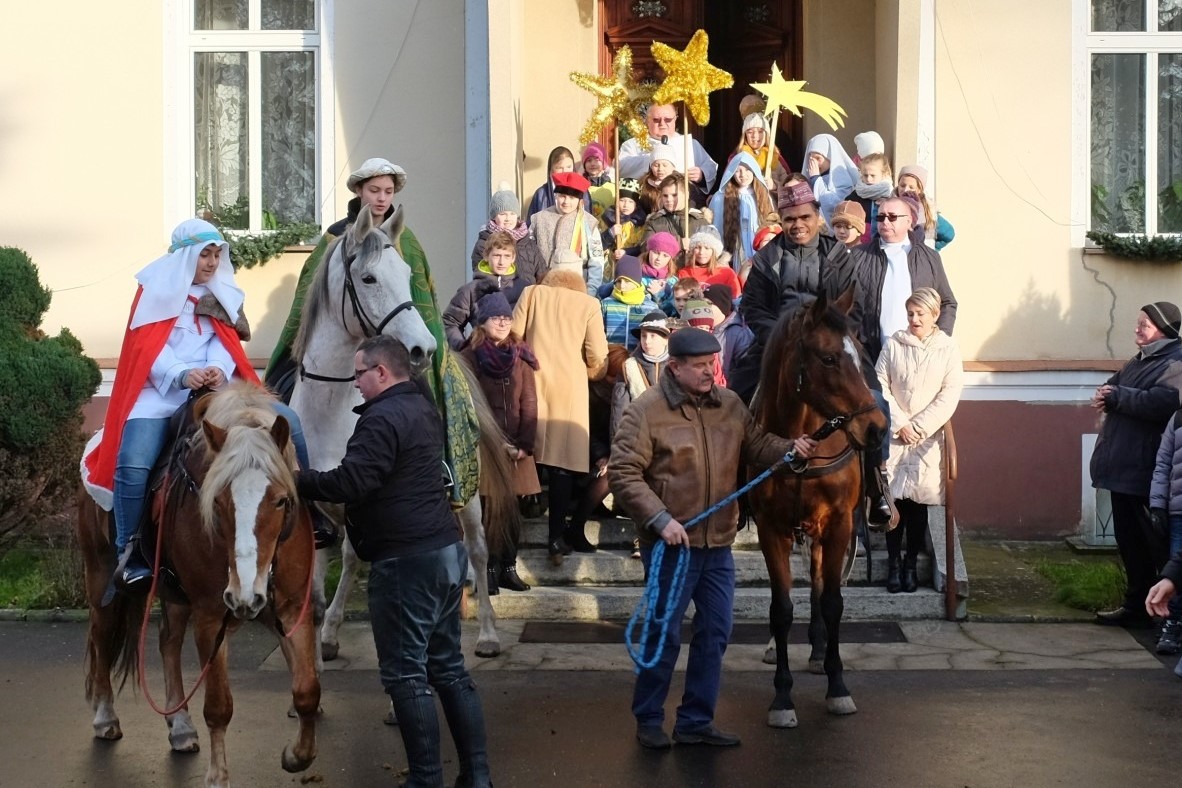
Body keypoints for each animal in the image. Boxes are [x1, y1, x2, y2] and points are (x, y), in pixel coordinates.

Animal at [77, 383, 321, 788]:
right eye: (217, 500)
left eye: (281, 500)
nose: (244, 596)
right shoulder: (210, 616)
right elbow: (219, 706)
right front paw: (218, 776)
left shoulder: (290, 609)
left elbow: (306, 692)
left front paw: (296, 756)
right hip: (101, 580)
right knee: (100, 636)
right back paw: (105, 717)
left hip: (176, 596)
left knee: (168, 641)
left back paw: (180, 727)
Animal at [288, 204, 517, 661]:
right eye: (369, 278)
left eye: (407, 272)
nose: (422, 348)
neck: (331, 406)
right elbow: (321, 559)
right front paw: (319, 624)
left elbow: (353, 558)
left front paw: (333, 630)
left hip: (467, 493)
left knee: (477, 549)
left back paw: (486, 633)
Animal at [748, 287, 887, 729]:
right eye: (828, 358)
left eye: (860, 352)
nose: (876, 429)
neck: (802, 445)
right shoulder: (771, 529)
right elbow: (781, 608)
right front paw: (782, 697)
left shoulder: (839, 524)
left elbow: (831, 602)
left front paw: (837, 685)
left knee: (819, 586)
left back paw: (817, 650)